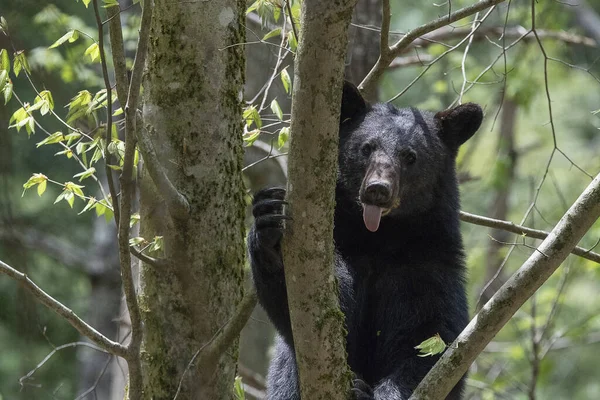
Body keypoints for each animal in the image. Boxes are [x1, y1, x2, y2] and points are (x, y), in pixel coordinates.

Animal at [248, 82, 482, 400]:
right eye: (367, 147)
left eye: (410, 156)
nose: (377, 190)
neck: (377, 240)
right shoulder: (341, 249)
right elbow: (310, 316)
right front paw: (269, 226)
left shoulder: (427, 262)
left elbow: (431, 339)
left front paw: (373, 391)